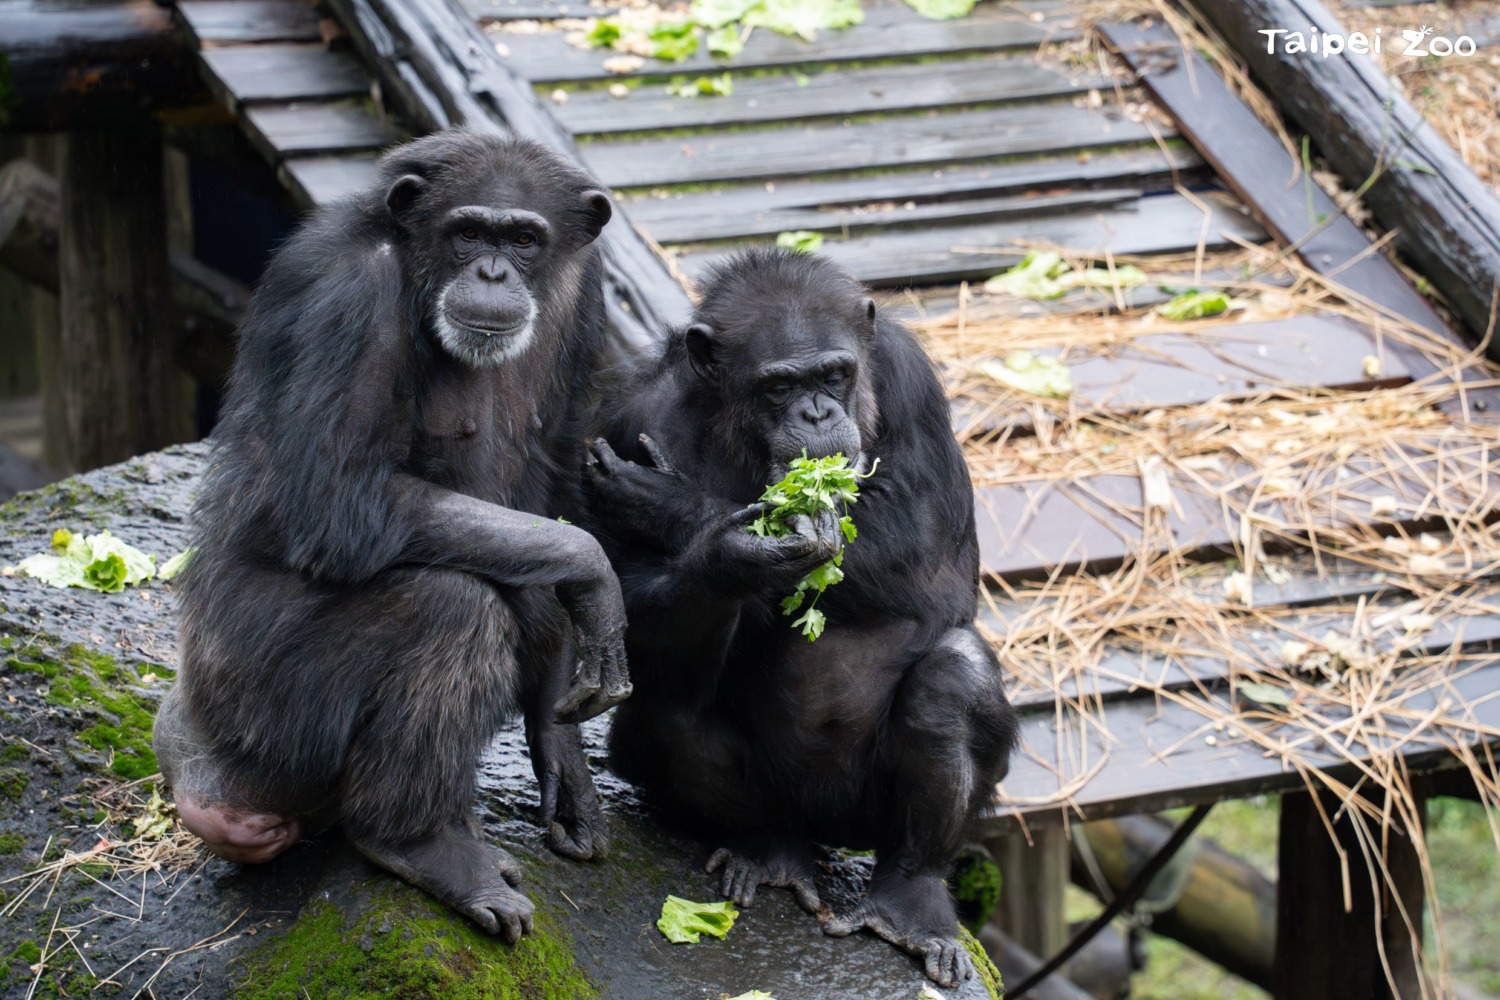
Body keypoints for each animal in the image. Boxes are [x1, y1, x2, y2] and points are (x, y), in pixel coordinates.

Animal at [146, 128, 627, 941]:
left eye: (524, 240)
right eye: (469, 232)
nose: (492, 271)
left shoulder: (586, 295)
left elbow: (556, 479)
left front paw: (564, 753)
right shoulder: (351, 296)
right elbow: (340, 497)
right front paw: (596, 580)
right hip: (261, 701)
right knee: (451, 607)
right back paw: (424, 844)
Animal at [582, 248, 1020, 983]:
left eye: (835, 374)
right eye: (779, 386)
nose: (817, 413)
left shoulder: (912, 380)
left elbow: (921, 548)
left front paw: (671, 501)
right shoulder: (629, 416)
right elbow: (622, 597)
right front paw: (731, 556)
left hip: (867, 820)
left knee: (953, 679)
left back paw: (909, 898)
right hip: (785, 804)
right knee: (672, 705)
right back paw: (770, 852)